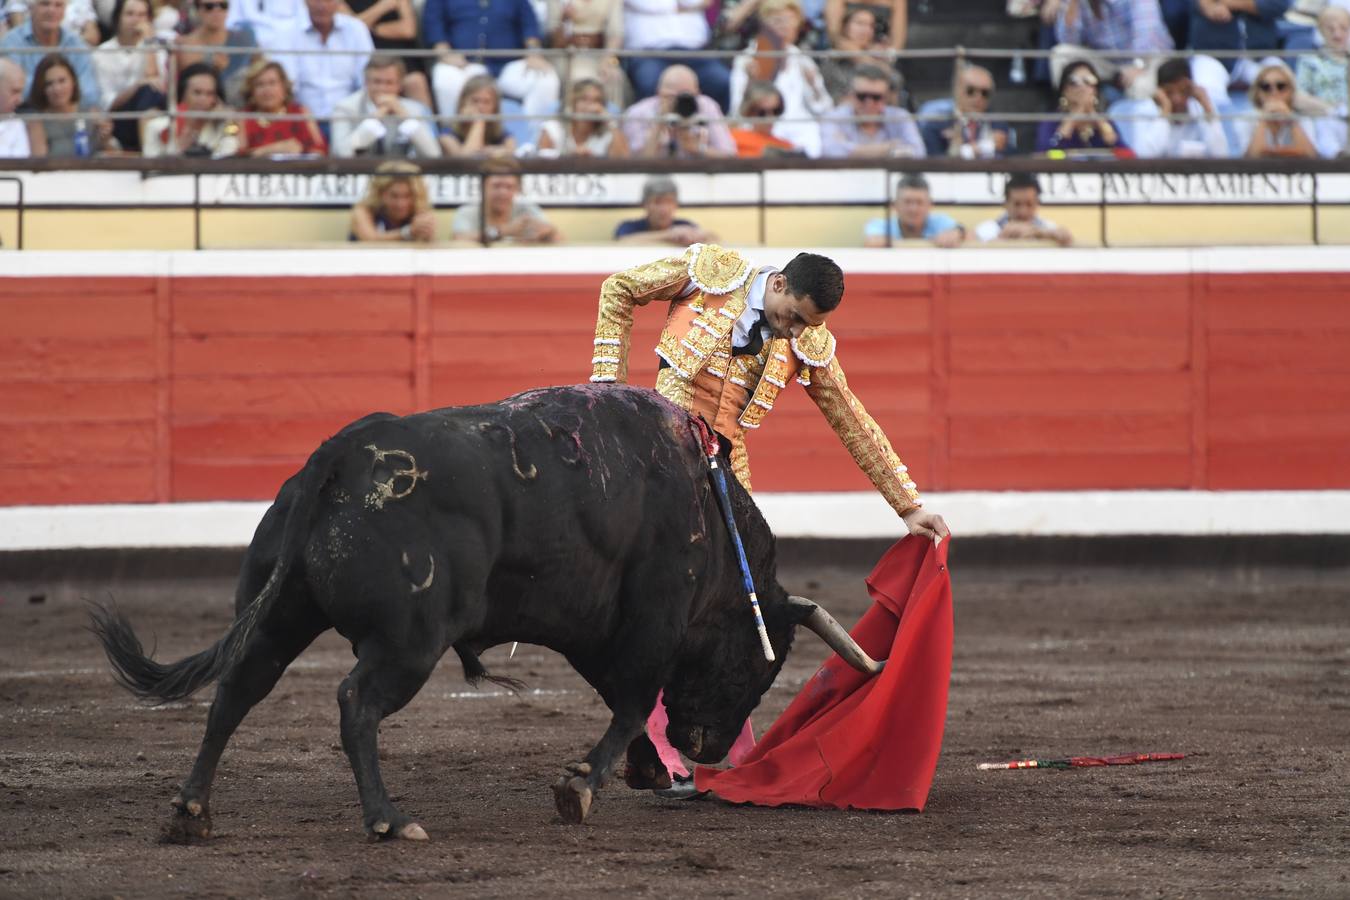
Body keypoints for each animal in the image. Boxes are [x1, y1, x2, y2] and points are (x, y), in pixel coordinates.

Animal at [89, 385, 880, 836]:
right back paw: (389, 821)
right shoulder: (652, 620)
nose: (710, 749)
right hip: (408, 641)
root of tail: (340, 455)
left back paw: (191, 813)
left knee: (238, 689)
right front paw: (580, 787)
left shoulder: (594, 630)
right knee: (355, 703)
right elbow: (630, 704)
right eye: (758, 663)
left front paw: (645, 773)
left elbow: (622, 703)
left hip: (280, 612)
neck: (711, 523)